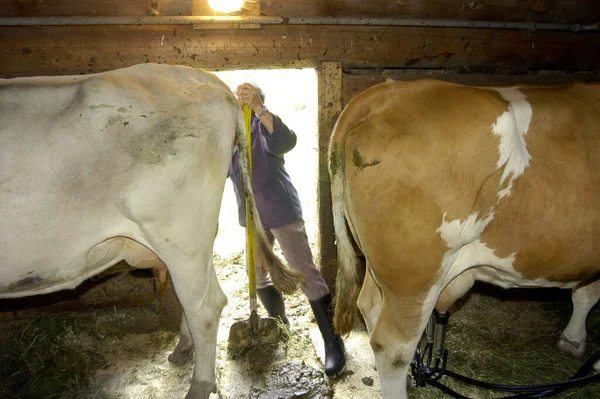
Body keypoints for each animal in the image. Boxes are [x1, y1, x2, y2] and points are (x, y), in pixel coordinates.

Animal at [0, 64, 300, 399]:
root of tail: (203, 77)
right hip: (195, 239)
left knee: (206, 309)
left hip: (179, 236)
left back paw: (199, 385)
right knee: (206, 298)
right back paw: (184, 347)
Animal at [328, 79, 600, 399]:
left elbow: (585, 291)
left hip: (385, 267)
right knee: (393, 346)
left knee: (369, 304)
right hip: (415, 276)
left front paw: (574, 341)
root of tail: (387, 94)